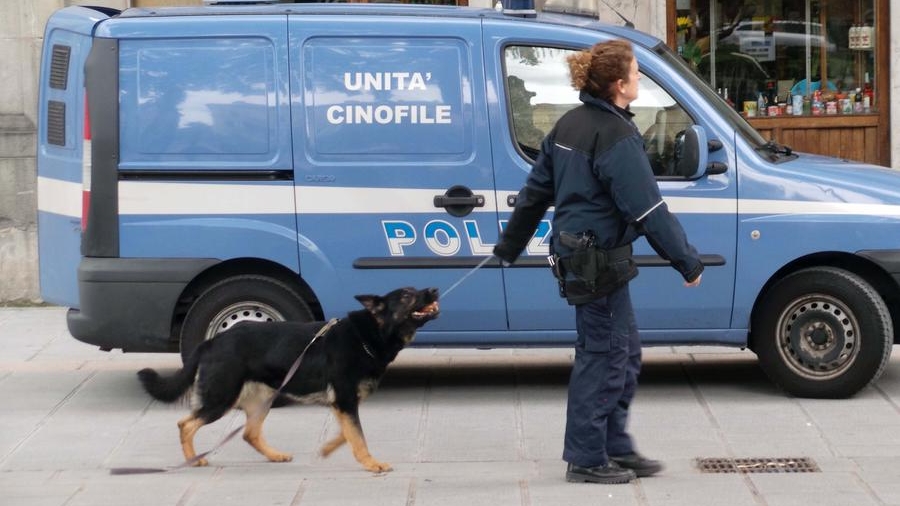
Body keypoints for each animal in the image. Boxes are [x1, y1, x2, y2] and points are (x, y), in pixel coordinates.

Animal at [136, 286, 440, 472]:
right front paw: (371, 463)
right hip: (220, 399)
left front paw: (328, 449)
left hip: (262, 400)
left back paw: (274, 455)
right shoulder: (344, 400)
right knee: (185, 424)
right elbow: (358, 436)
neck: (367, 336)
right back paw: (192, 460)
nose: (434, 290)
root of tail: (212, 342)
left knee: (249, 433)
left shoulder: (342, 404)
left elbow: (348, 433)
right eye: (407, 295)